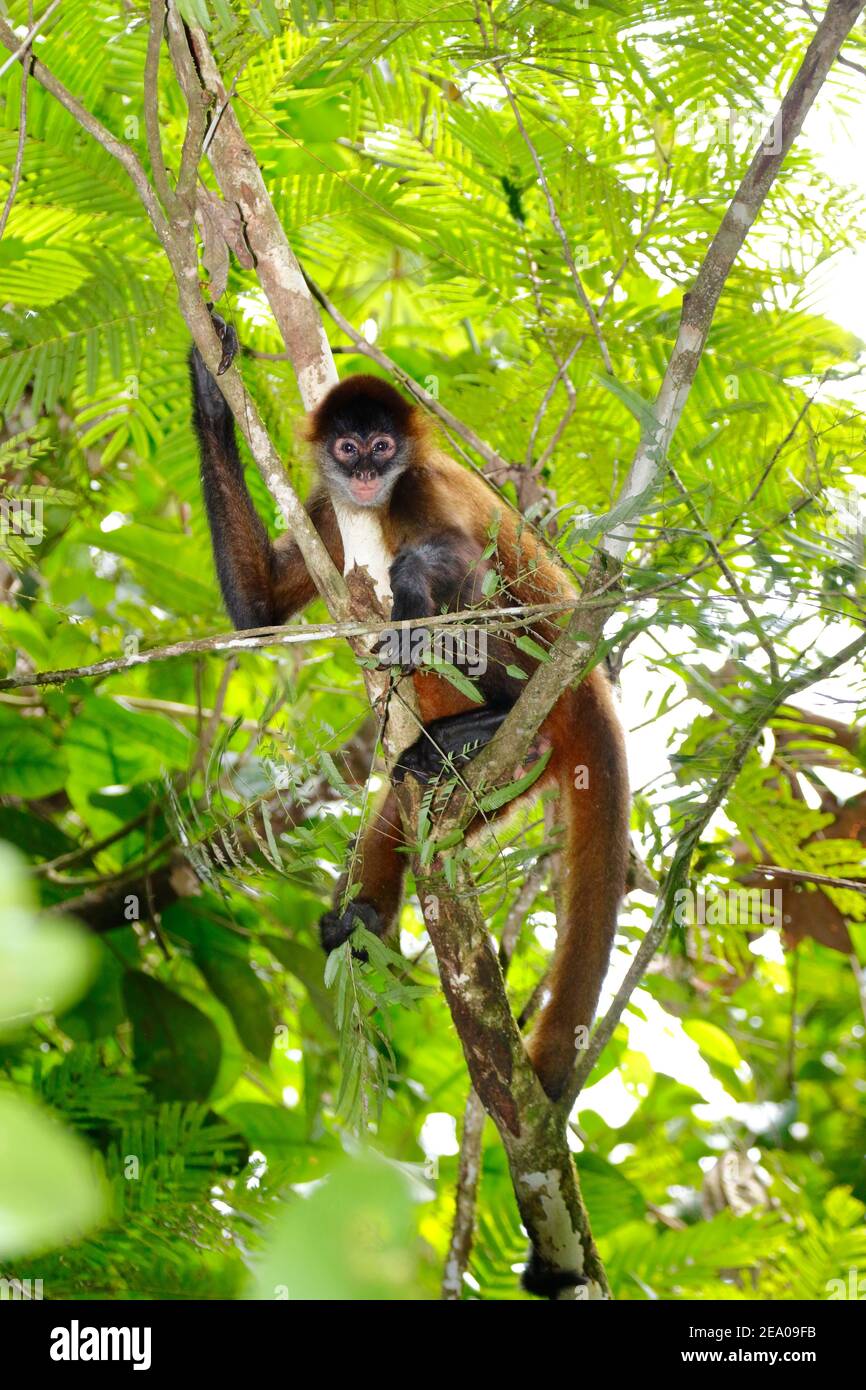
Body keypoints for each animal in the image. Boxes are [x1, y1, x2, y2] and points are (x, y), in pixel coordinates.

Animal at [191, 315, 631, 1117]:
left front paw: (412, 587)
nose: (368, 473)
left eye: (382, 446)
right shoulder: (332, 510)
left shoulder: (418, 484)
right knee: (406, 799)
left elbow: (455, 559)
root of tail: (588, 687)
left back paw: (491, 716)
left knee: (470, 596)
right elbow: (258, 607)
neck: (377, 501)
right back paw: (369, 913)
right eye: (347, 448)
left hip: (541, 663)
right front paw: (212, 385)